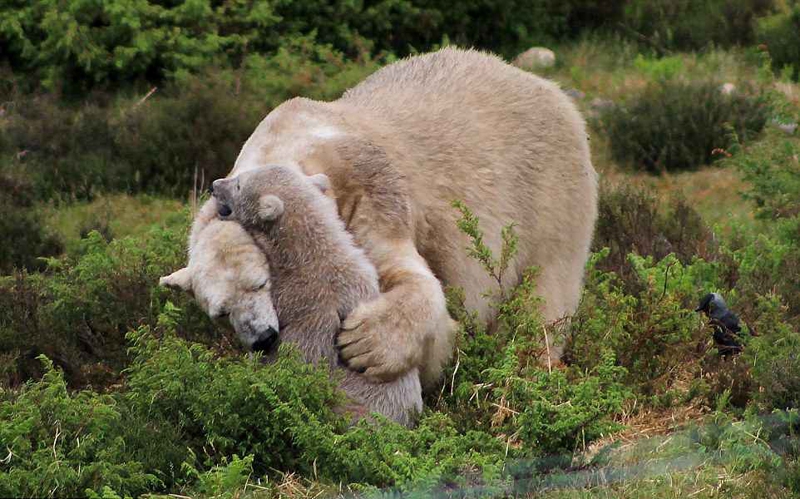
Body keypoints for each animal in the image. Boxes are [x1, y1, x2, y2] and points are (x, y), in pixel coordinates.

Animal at [169, 47, 596, 388]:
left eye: (262, 284)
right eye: (220, 313)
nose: (262, 340)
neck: (283, 149)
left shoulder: (370, 191)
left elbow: (409, 277)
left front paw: (366, 343)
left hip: (552, 190)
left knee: (545, 289)